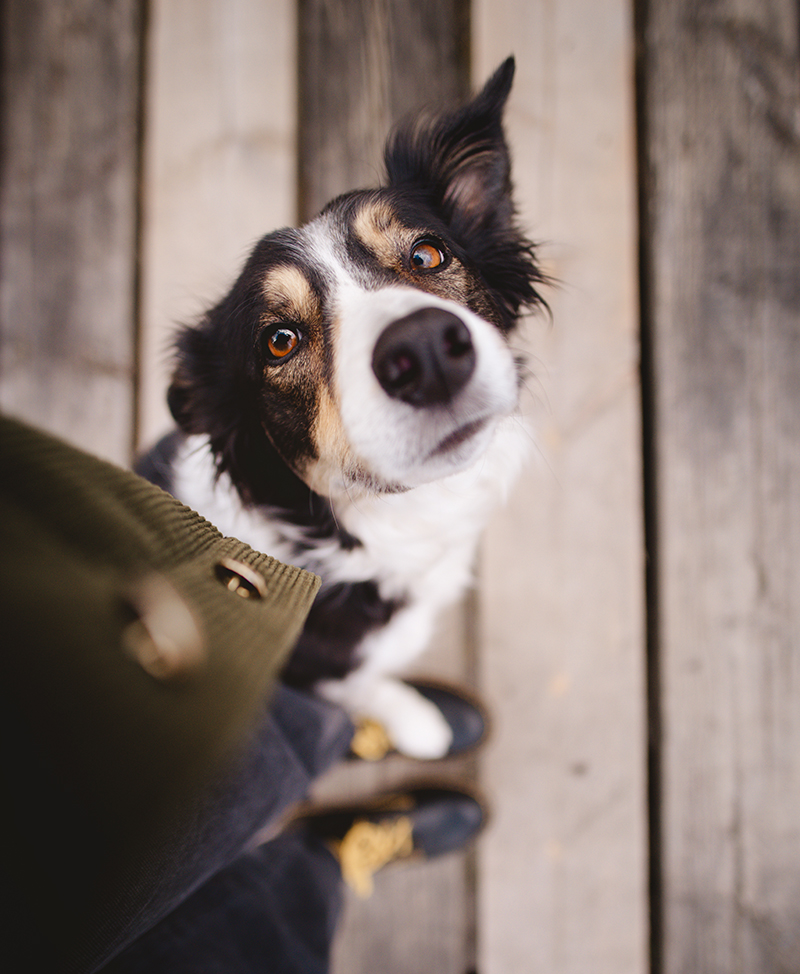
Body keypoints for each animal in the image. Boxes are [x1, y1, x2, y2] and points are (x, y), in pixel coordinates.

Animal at [141, 59, 548, 764]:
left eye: (428, 253)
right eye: (280, 340)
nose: (425, 351)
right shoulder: (310, 663)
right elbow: (359, 685)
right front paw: (420, 722)